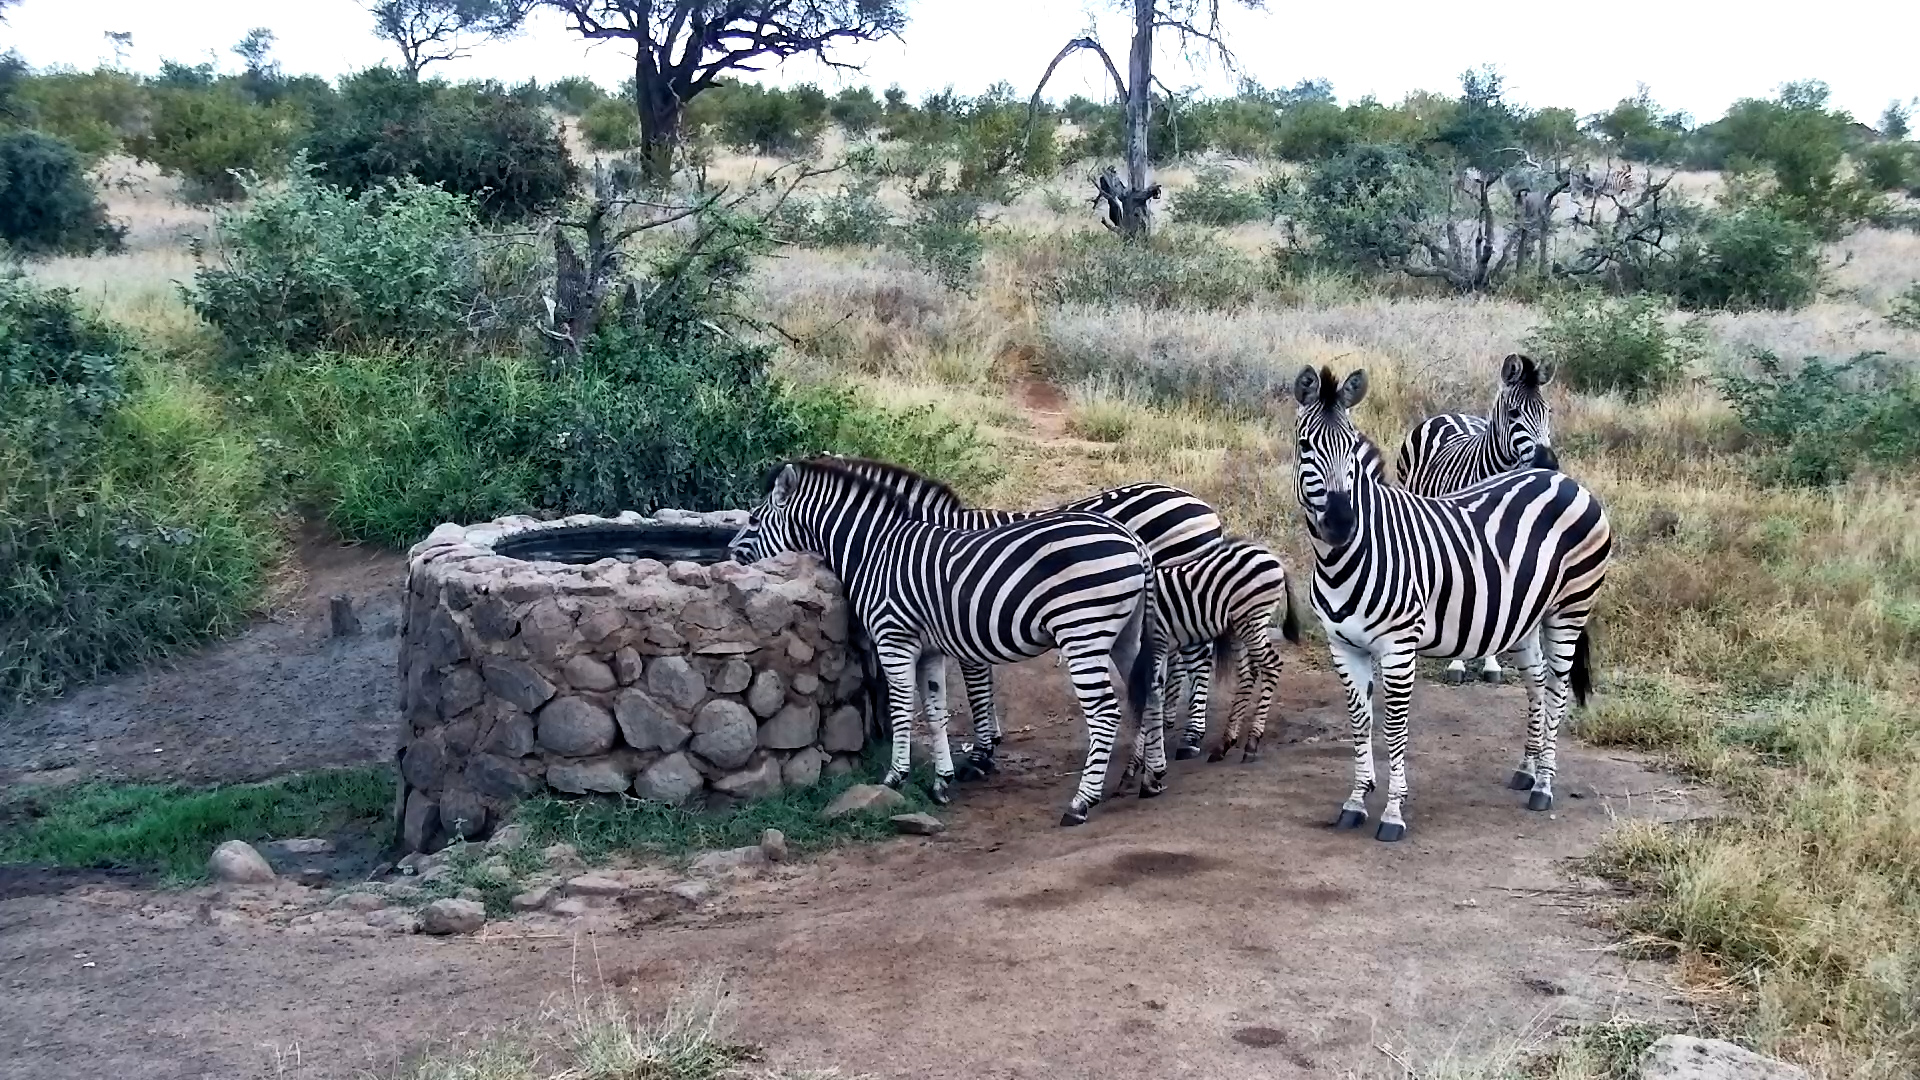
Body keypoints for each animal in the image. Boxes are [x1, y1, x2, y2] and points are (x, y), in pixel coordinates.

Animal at [728, 458, 1164, 826]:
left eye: (754, 520)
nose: (729, 553)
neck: (876, 549)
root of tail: (1132, 540)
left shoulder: (894, 639)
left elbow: (904, 709)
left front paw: (895, 776)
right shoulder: (930, 649)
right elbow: (936, 711)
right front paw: (942, 781)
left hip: (1082, 631)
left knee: (1105, 711)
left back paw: (1081, 802)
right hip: (1128, 634)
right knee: (1152, 691)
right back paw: (1149, 779)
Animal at [817, 456, 1226, 778]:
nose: (879, 735)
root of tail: (1201, 505)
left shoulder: (964, 620)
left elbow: (977, 687)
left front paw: (982, 754)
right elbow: (982, 684)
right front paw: (990, 741)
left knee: (1197, 658)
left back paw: (1191, 738)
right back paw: (1167, 727)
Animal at [1120, 536, 1301, 782]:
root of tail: (1271, 556)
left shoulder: (1155, 645)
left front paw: (1135, 765)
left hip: (1250, 620)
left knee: (1272, 665)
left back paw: (1251, 743)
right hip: (1237, 627)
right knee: (1247, 673)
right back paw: (1224, 744)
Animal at [1394, 353, 1558, 686]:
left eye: (1547, 411)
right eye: (1514, 413)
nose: (1547, 463)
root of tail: (1450, 415)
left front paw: (1491, 663)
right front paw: (1457, 663)